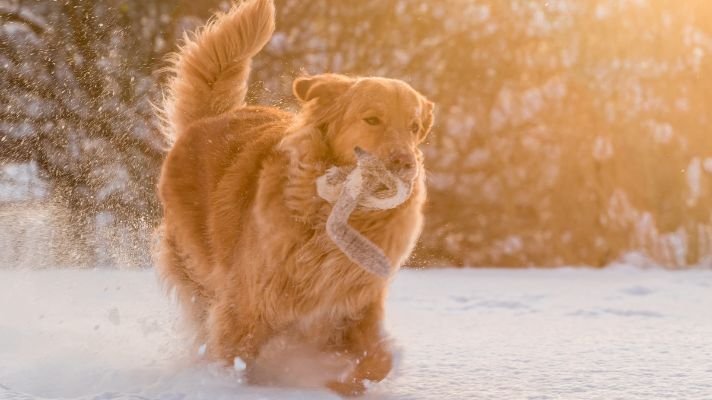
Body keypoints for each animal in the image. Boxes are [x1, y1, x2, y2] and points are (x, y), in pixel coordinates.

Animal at [156, 0, 434, 394]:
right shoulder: (249, 300)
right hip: (196, 266)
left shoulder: (356, 302)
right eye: (372, 119)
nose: (406, 164)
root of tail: (209, 119)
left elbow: (378, 360)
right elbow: (233, 356)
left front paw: (341, 382)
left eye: (414, 127)